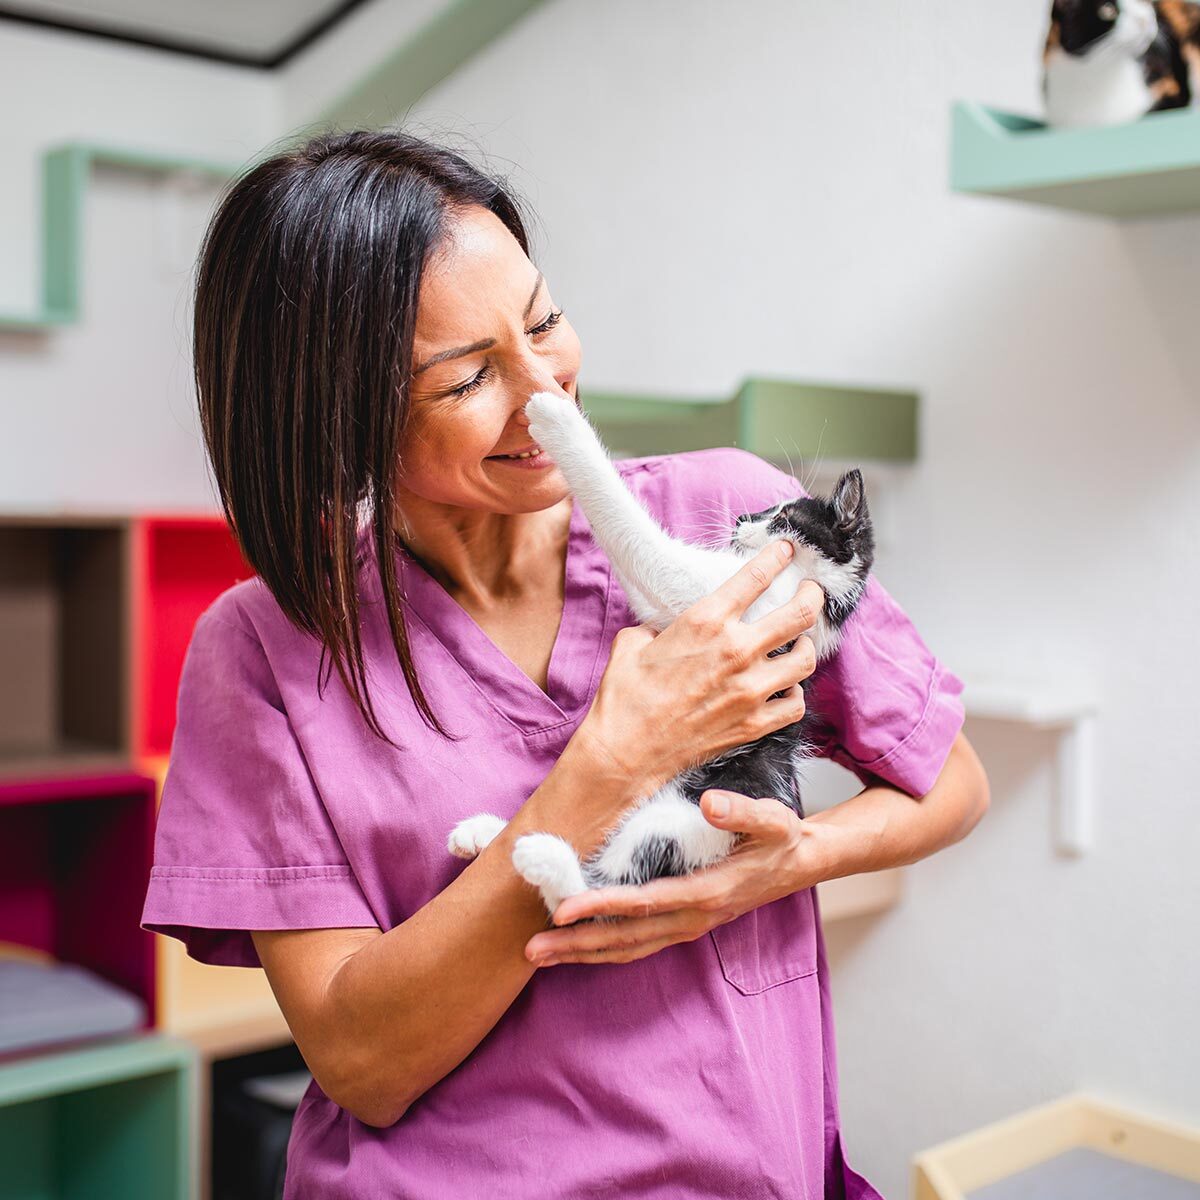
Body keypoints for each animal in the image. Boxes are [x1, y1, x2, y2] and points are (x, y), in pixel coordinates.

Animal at [446, 388, 878, 912]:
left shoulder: (732, 599)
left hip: (696, 817)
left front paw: (556, 417)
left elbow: (641, 539)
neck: (810, 586)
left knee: (600, 887)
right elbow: (642, 583)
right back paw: (488, 835)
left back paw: (539, 857)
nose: (741, 518)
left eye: (780, 516)